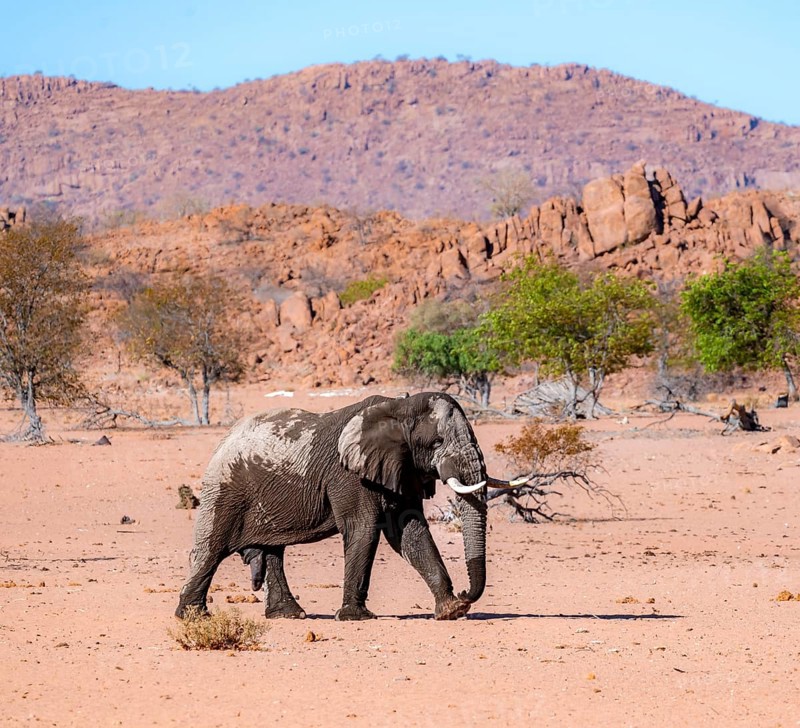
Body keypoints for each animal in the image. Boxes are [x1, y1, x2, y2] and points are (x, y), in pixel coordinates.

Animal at [176, 392, 523, 621]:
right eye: (437, 443)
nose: (465, 594)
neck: (399, 407)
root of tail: (223, 439)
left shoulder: (401, 468)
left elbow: (410, 532)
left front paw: (451, 611)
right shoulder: (349, 474)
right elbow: (364, 528)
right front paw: (356, 617)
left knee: (273, 552)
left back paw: (289, 615)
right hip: (224, 488)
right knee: (211, 549)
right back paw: (193, 617)